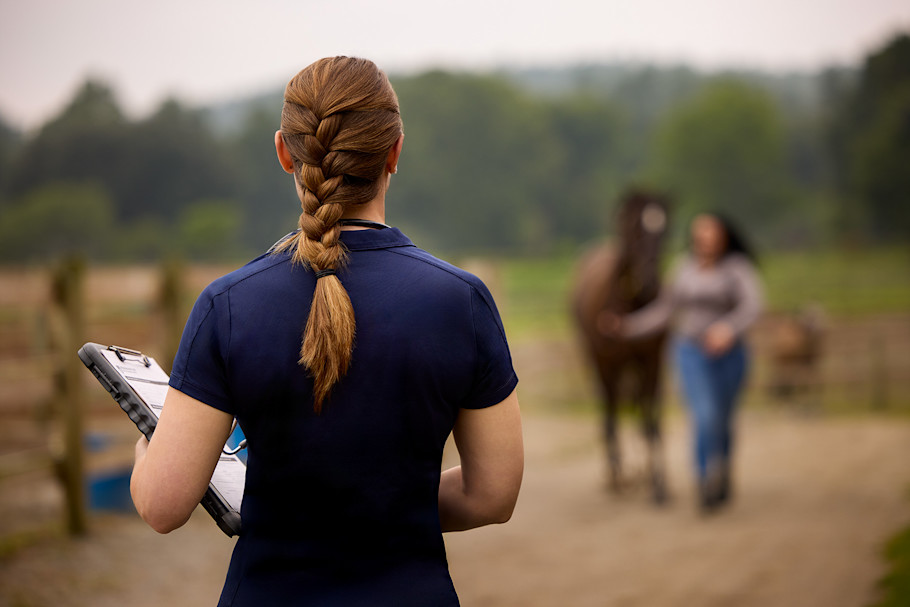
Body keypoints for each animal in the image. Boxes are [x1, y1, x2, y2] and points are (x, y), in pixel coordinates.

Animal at [571, 190, 670, 504]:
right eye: (636, 229)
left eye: (665, 229)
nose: (649, 282)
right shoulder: (608, 362)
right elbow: (613, 409)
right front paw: (619, 475)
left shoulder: (652, 360)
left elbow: (651, 419)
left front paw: (658, 484)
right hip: (601, 362)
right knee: (610, 406)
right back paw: (617, 473)